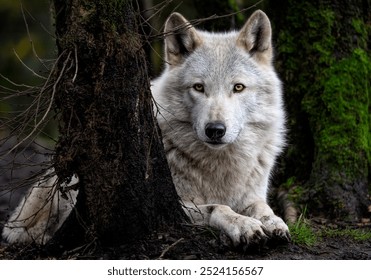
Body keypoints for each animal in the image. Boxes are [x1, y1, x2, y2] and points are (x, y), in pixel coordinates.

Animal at [2, 9, 290, 246]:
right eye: (198, 87)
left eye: (238, 87)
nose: (215, 130)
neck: (220, 168)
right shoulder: (176, 205)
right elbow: (219, 207)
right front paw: (245, 226)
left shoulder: (252, 194)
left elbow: (262, 207)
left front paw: (275, 222)